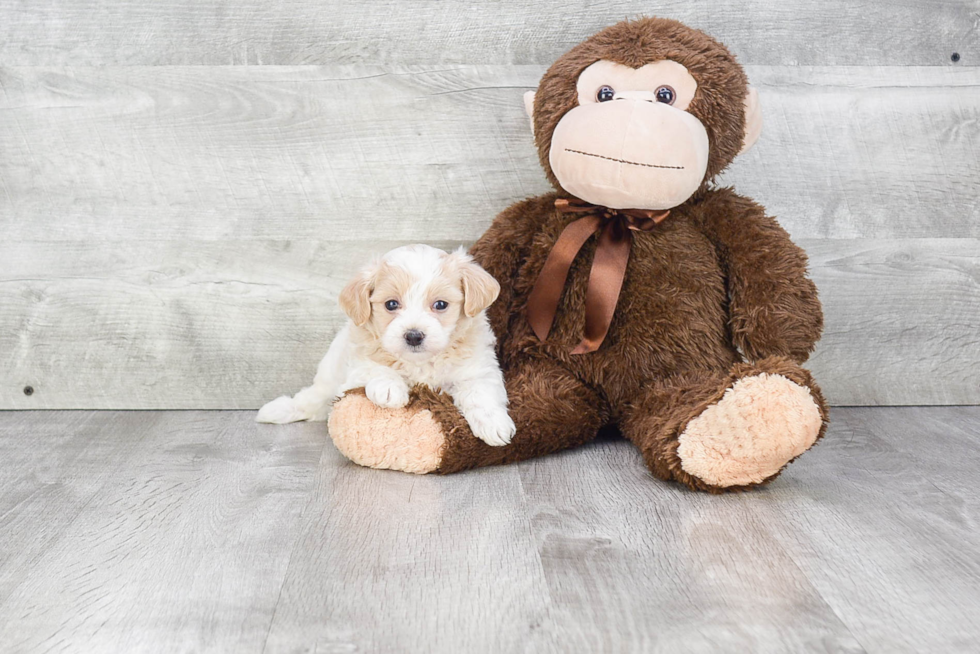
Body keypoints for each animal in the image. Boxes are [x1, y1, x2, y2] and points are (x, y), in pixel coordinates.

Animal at [256, 243, 516, 448]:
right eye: (391, 304)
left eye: (440, 304)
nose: (414, 336)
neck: (421, 362)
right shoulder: (357, 366)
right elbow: (375, 368)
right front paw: (389, 389)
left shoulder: (478, 370)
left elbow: (480, 394)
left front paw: (494, 425)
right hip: (327, 378)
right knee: (309, 400)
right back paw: (276, 410)